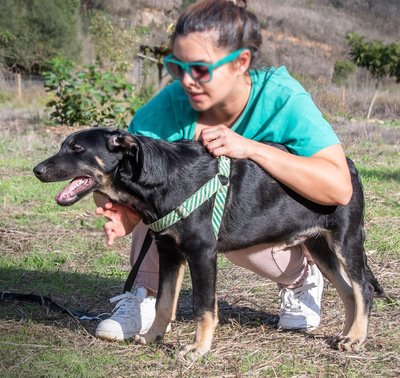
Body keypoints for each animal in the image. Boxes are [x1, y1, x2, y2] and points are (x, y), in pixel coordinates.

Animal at [33, 127, 384, 358]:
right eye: (64, 146)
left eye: (77, 149)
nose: (36, 170)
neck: (161, 177)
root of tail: (349, 165)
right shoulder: (168, 250)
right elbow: (163, 302)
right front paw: (154, 336)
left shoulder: (202, 252)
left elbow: (203, 306)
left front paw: (198, 348)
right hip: (320, 246)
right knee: (348, 291)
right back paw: (348, 335)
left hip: (346, 238)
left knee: (363, 287)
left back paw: (356, 339)